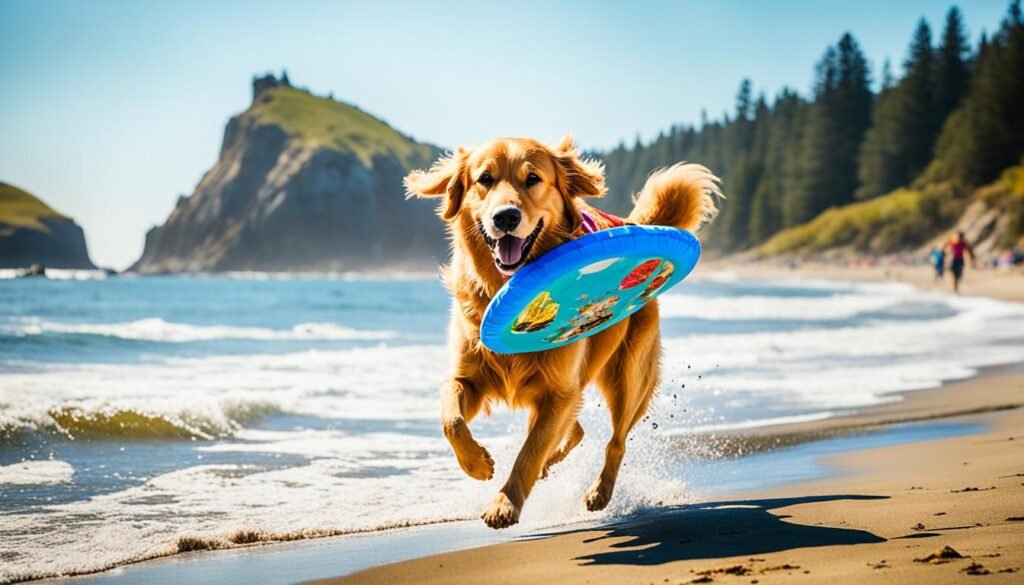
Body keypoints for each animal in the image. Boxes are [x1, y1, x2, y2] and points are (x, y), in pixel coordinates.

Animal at [401, 137, 720, 532]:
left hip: (628, 375)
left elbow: (529, 451)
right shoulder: (471, 377)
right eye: (484, 179)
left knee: (616, 439)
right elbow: (452, 419)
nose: (505, 217)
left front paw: (505, 504)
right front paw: (477, 464)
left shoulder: (557, 391)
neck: (500, 283)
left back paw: (599, 492)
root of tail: (631, 222)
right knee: (576, 430)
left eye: (533, 179)